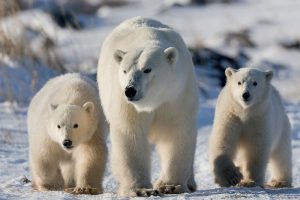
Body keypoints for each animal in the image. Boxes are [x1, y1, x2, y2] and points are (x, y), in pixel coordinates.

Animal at [97, 16, 198, 197]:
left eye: (147, 69)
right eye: (124, 70)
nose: (130, 90)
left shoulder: (176, 96)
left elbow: (175, 132)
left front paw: (170, 186)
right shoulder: (126, 104)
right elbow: (130, 133)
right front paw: (141, 189)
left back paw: (190, 183)